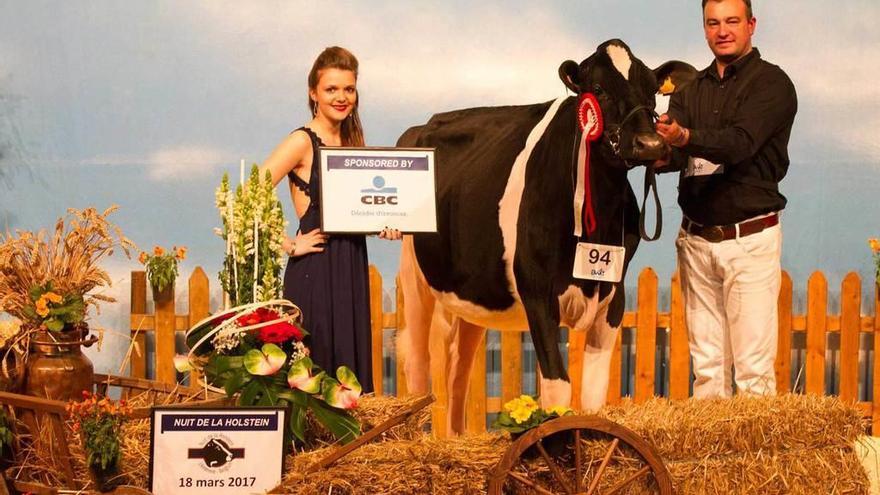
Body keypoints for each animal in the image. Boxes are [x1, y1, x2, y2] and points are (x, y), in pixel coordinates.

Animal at [398, 40, 696, 436]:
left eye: (652, 92)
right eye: (598, 88)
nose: (649, 144)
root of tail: (423, 125)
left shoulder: (613, 297)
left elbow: (593, 392)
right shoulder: (537, 292)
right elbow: (558, 388)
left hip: (471, 295)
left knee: (459, 369)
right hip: (415, 280)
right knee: (418, 365)